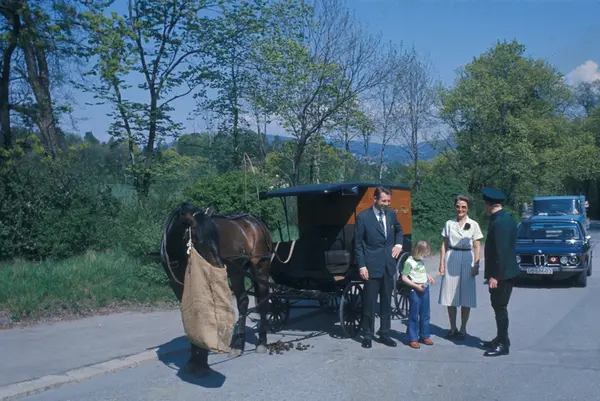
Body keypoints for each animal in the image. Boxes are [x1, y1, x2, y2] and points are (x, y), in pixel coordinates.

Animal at [160, 200, 273, 376]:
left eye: (215, 236)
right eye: (198, 238)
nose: (219, 267)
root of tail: (254, 221)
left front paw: (202, 360)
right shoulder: (177, 286)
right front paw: (194, 359)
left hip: (260, 266)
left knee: (263, 301)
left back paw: (262, 342)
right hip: (237, 272)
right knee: (243, 302)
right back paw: (238, 345)